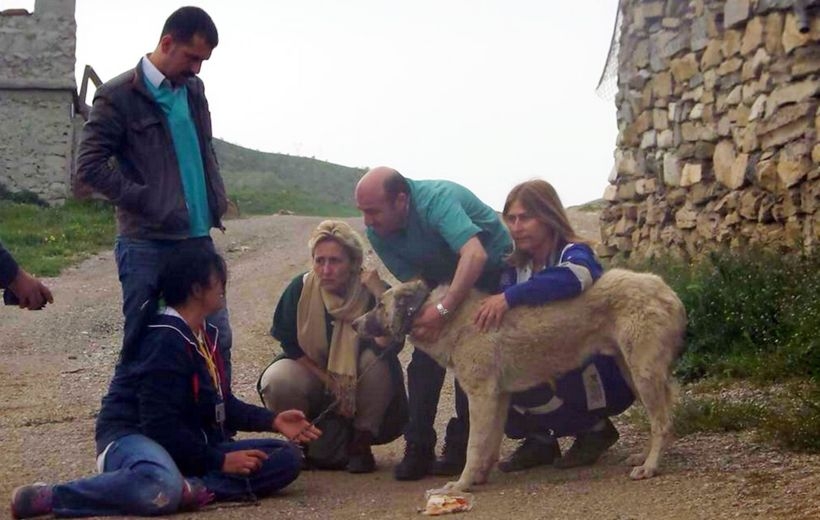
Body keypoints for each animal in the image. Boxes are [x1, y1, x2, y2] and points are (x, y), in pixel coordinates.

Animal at [352, 268, 684, 492]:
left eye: (380, 305)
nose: (354, 324)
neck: (448, 318)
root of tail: (668, 291)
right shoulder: (498, 398)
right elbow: (488, 446)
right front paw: (478, 479)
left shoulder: (481, 396)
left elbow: (474, 446)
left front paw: (460, 485)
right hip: (632, 373)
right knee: (663, 420)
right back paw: (642, 457)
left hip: (643, 374)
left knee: (663, 422)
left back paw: (650, 467)